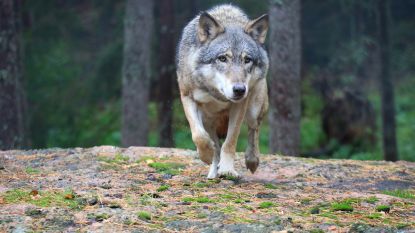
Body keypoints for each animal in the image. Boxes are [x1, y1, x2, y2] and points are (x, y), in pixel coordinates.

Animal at [176, 4, 270, 178]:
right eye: (222, 58)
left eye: (247, 60)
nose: (240, 90)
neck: (217, 95)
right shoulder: (187, 97)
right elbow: (199, 136)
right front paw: (206, 155)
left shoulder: (240, 106)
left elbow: (230, 142)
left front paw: (227, 169)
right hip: (208, 120)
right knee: (215, 145)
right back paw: (213, 172)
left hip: (254, 110)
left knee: (254, 129)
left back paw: (252, 160)